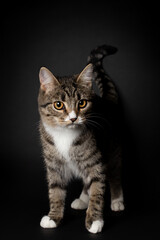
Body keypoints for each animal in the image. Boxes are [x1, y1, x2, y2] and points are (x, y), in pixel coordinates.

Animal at [38, 45, 124, 234]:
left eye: (82, 103)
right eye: (58, 105)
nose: (73, 118)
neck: (64, 133)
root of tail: (108, 101)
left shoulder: (95, 159)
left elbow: (98, 190)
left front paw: (95, 220)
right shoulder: (54, 165)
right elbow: (55, 190)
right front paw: (54, 217)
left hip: (111, 149)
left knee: (113, 173)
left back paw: (117, 200)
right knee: (87, 180)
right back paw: (83, 198)